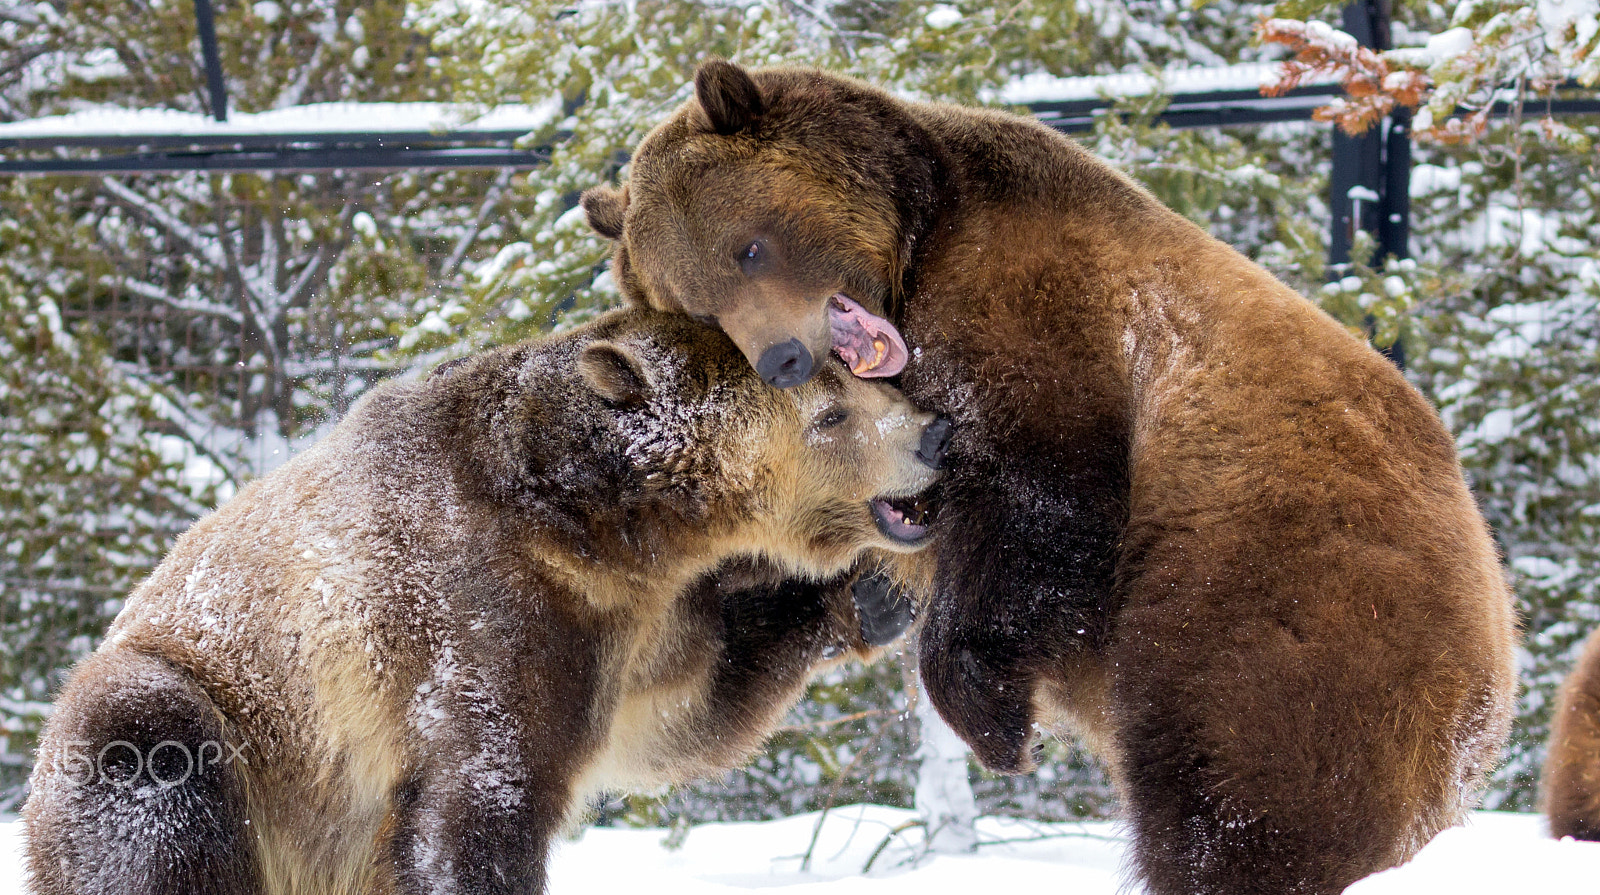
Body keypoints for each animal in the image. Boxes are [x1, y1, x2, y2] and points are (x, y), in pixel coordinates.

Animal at [22, 306, 944, 895]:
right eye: (830, 413)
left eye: (860, 378)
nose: (934, 433)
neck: (593, 523)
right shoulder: (471, 610)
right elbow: (478, 797)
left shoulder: (633, 624)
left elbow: (676, 713)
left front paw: (866, 596)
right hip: (220, 722)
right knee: (153, 781)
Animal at [579, 60, 1520, 895]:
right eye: (696, 303)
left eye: (749, 245)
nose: (781, 357)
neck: (915, 249)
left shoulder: (1041, 322)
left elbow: (1043, 501)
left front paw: (997, 723)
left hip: (1276, 603)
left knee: (1247, 801)